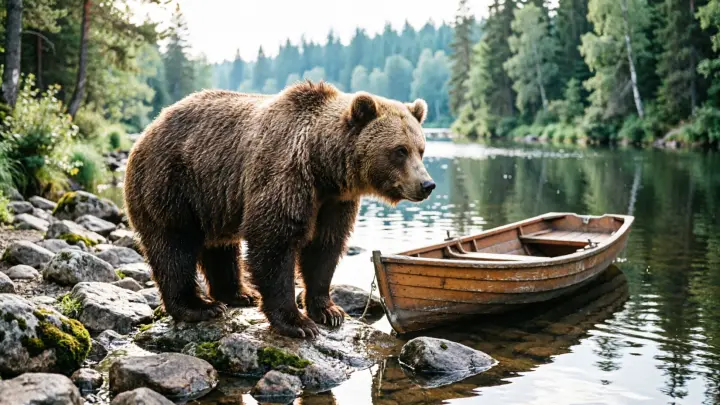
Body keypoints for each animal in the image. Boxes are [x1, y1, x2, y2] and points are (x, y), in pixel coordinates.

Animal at [123, 81, 435, 338]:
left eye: (421, 149)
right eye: (399, 150)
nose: (427, 184)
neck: (323, 167)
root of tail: (149, 128)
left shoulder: (334, 203)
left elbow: (324, 247)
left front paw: (329, 311)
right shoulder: (285, 175)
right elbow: (274, 242)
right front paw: (297, 323)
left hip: (213, 198)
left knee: (221, 247)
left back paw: (238, 294)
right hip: (171, 183)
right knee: (174, 246)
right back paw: (198, 306)